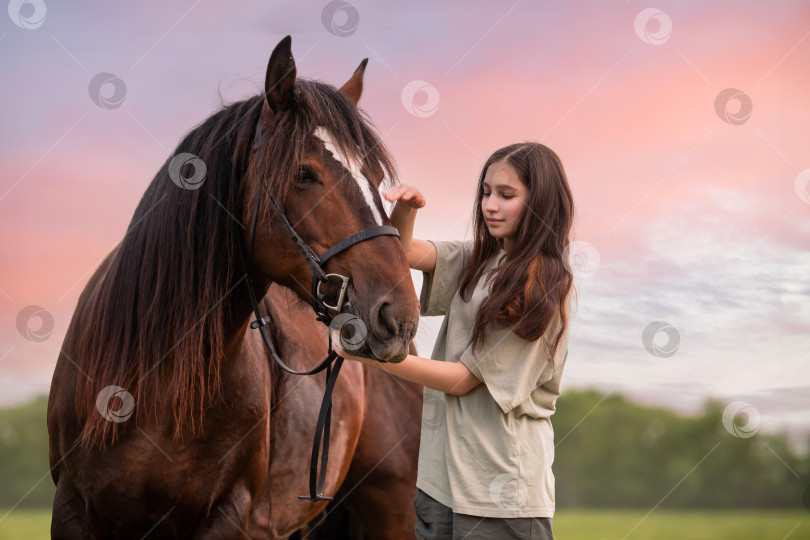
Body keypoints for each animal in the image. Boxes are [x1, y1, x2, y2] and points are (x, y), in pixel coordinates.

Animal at [45, 35, 422, 536]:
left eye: (376, 179)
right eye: (304, 173)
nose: (398, 315)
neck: (156, 387)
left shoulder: (227, 513)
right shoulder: (73, 507)